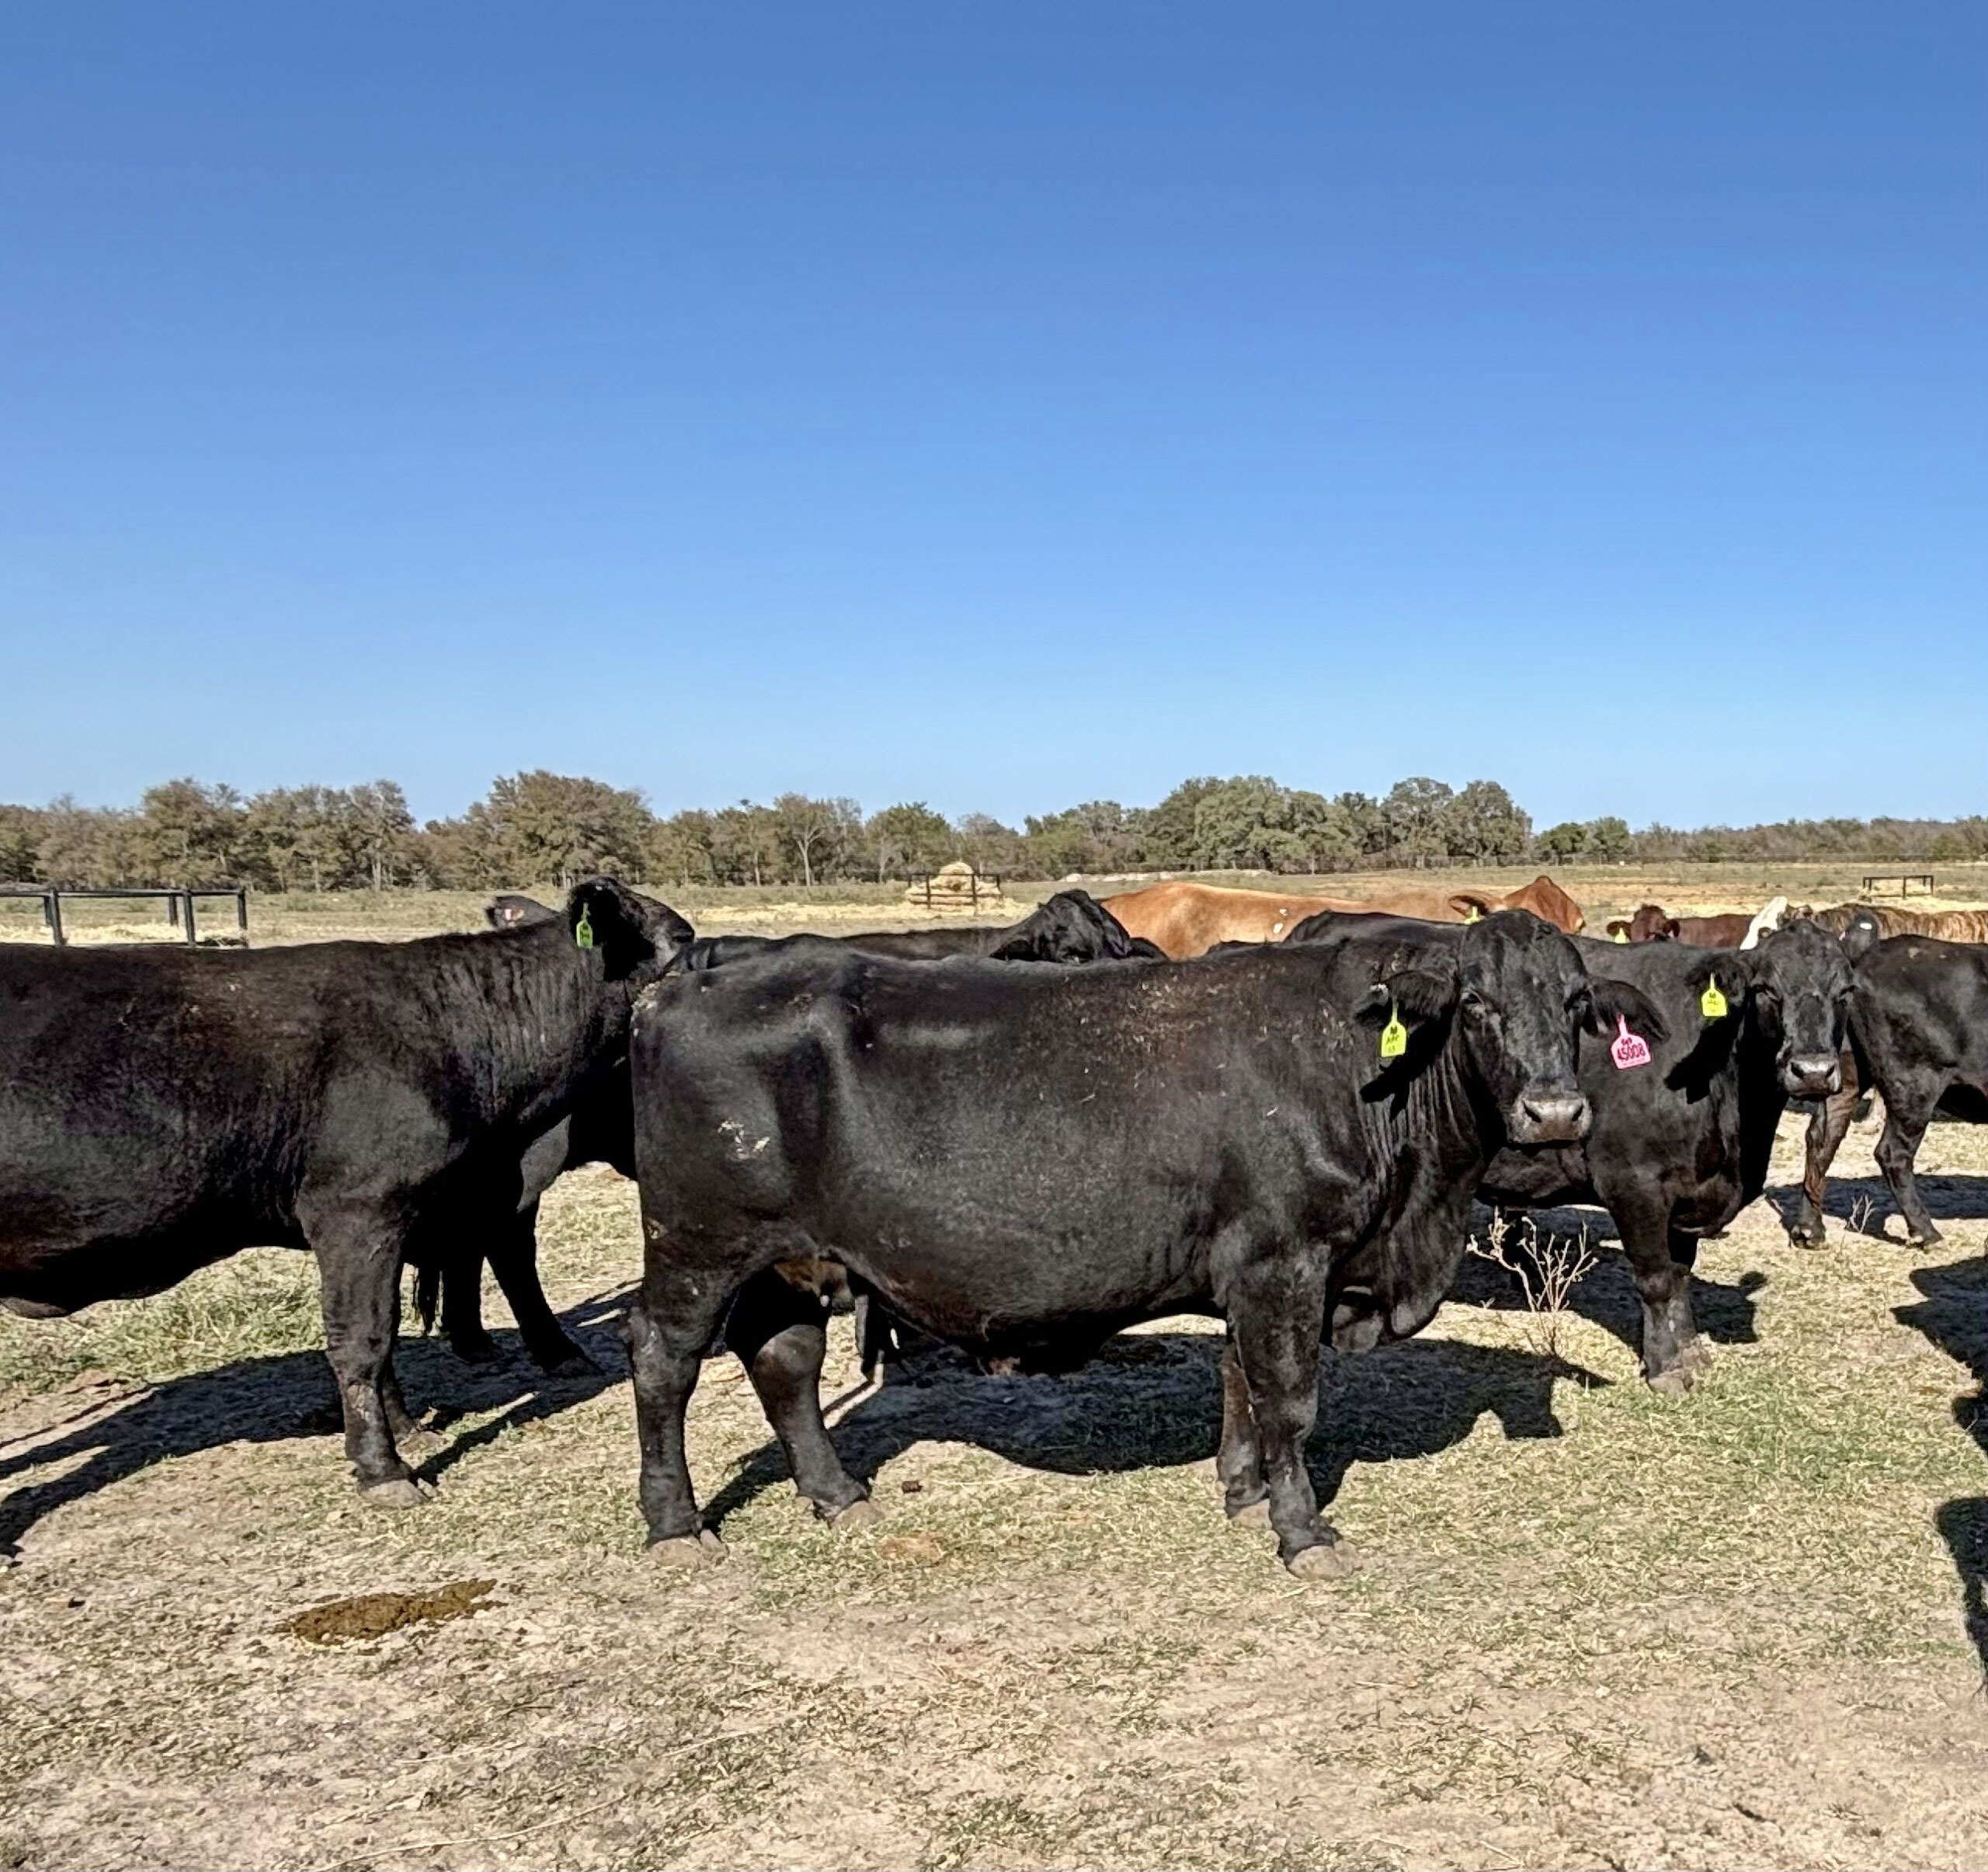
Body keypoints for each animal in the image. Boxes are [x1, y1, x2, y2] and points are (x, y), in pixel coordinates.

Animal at [0, 879, 690, 1506]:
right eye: (683, 940)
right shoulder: (357, 1211)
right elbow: (363, 1338)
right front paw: (384, 1469)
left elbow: (393, 1327)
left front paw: (407, 1427)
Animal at [622, 912, 1661, 1576]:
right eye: (1477, 1002)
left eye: (1576, 1003)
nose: (1555, 1111)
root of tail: (679, 990)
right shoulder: (1284, 1261)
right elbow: (1290, 1402)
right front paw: (1302, 1533)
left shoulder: (1253, 1271)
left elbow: (1240, 1381)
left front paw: (1243, 1492)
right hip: (695, 1248)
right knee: (662, 1362)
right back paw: (675, 1524)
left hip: (787, 1258)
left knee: (784, 1361)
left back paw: (836, 1492)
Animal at [1296, 917, 1848, 1391]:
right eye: (1767, 990)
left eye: (1845, 992)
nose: (1813, 1071)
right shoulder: (1634, 1183)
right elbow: (1655, 1279)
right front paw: (1666, 1369)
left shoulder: (1686, 1192)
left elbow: (1680, 1276)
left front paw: (1691, 1352)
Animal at [1788, 935, 1988, 1249]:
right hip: (1915, 1084)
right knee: (1892, 1153)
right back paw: (1925, 1232)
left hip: (1845, 1072)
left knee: (1822, 1139)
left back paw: (1810, 1229)